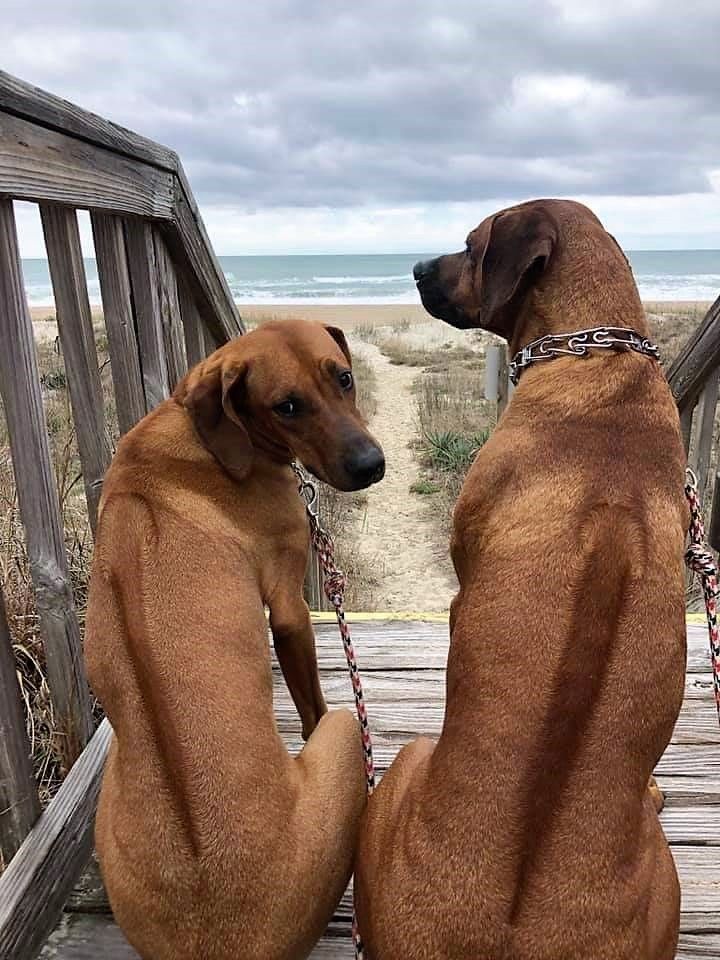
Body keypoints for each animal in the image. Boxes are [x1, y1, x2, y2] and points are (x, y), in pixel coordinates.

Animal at [84, 316, 386, 960]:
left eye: (343, 378)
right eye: (286, 406)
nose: (370, 464)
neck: (204, 431)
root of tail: (224, 944)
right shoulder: (289, 603)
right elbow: (309, 697)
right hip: (347, 734)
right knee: (336, 721)